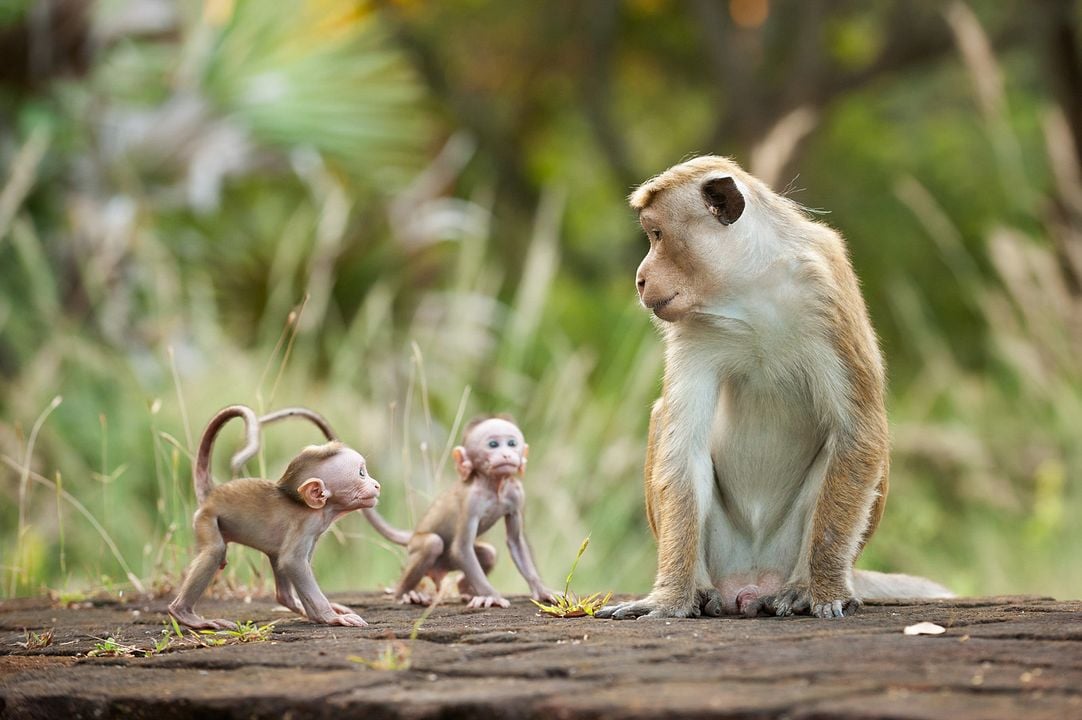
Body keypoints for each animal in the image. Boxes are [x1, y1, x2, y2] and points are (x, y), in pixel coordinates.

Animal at [167, 405, 381, 630]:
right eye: (361, 473)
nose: (376, 485)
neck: (320, 509)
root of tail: (212, 494)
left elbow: (291, 562)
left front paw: (317, 615)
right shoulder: (305, 525)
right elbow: (292, 562)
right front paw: (331, 616)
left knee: (276, 562)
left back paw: (292, 603)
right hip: (206, 518)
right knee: (215, 551)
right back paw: (184, 614)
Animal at [362, 416, 558, 609]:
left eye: (512, 443)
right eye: (493, 444)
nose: (506, 454)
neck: (493, 486)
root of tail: (413, 534)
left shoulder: (517, 494)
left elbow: (516, 541)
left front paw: (542, 590)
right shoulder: (471, 501)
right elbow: (461, 547)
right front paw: (491, 596)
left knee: (489, 553)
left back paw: (465, 590)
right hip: (417, 548)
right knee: (432, 543)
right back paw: (404, 593)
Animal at [597, 156, 952, 621]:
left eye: (657, 235)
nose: (640, 279)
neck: (750, 289)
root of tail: (751, 582)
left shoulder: (826, 291)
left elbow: (859, 432)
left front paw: (824, 590)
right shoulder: (693, 330)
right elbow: (683, 447)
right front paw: (670, 598)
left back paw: (802, 586)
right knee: (664, 421)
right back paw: (702, 589)